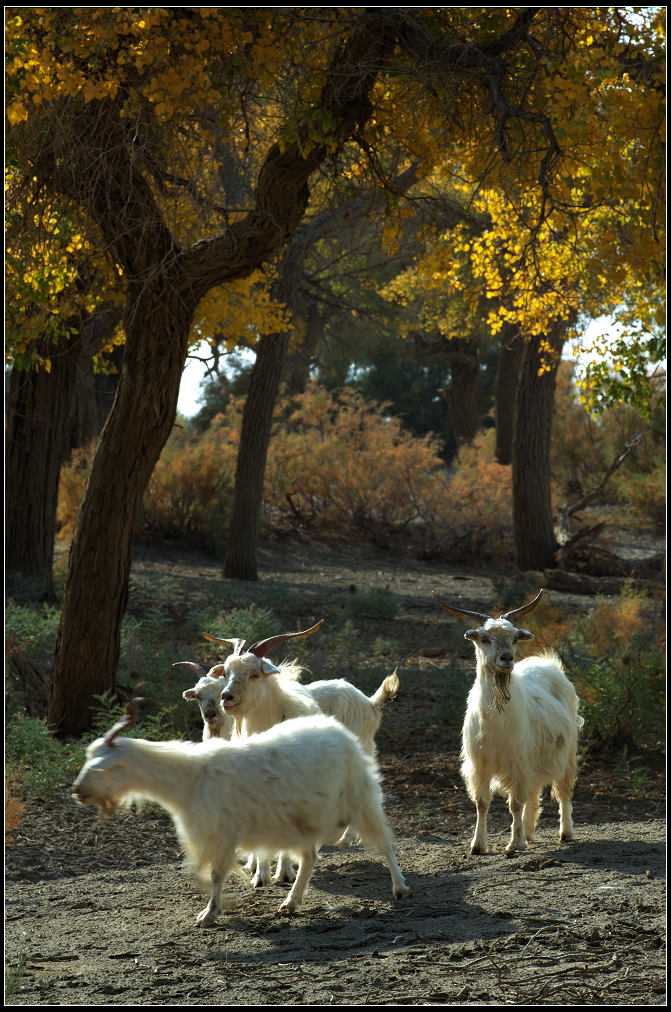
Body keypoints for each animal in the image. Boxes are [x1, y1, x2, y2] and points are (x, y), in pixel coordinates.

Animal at [72, 696, 408, 926]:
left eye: (101, 766)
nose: (77, 791)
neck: (190, 778)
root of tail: (342, 733)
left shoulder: (223, 832)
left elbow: (216, 873)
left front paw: (210, 913)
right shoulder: (206, 834)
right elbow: (196, 870)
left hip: (359, 797)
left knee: (385, 842)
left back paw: (400, 888)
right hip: (303, 820)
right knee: (310, 858)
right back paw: (291, 903)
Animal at [435, 591, 582, 858]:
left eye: (514, 638)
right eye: (484, 639)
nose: (507, 658)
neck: (495, 721)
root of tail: (549, 664)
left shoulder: (517, 762)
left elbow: (514, 803)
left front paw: (514, 844)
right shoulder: (481, 764)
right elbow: (482, 803)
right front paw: (478, 845)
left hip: (566, 753)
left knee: (563, 790)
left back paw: (565, 832)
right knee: (533, 793)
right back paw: (529, 832)